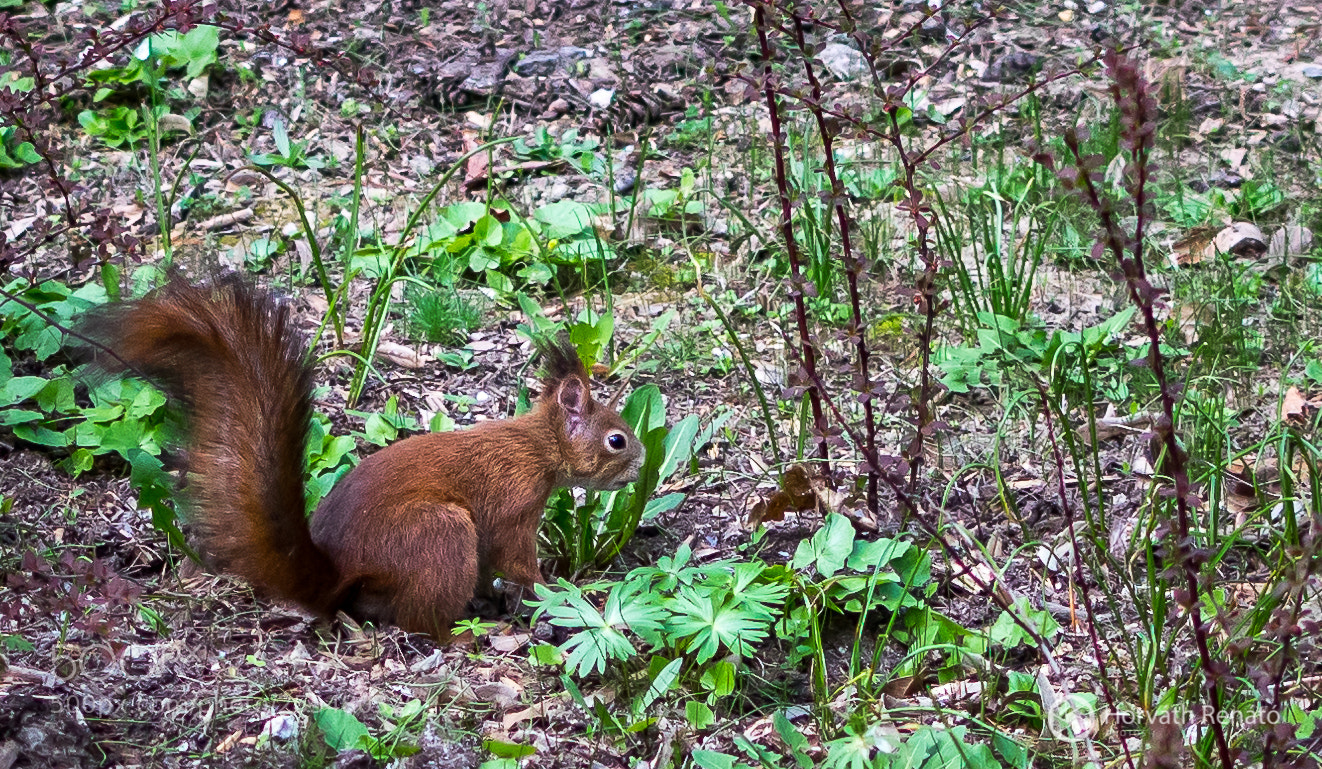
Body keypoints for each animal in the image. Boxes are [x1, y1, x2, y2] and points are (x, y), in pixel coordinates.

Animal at [80, 275, 644, 639]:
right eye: (616, 440)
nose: (640, 466)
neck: (536, 446)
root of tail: (338, 577)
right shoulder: (513, 505)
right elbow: (517, 560)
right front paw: (556, 593)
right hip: (439, 531)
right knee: (422, 622)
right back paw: (466, 635)